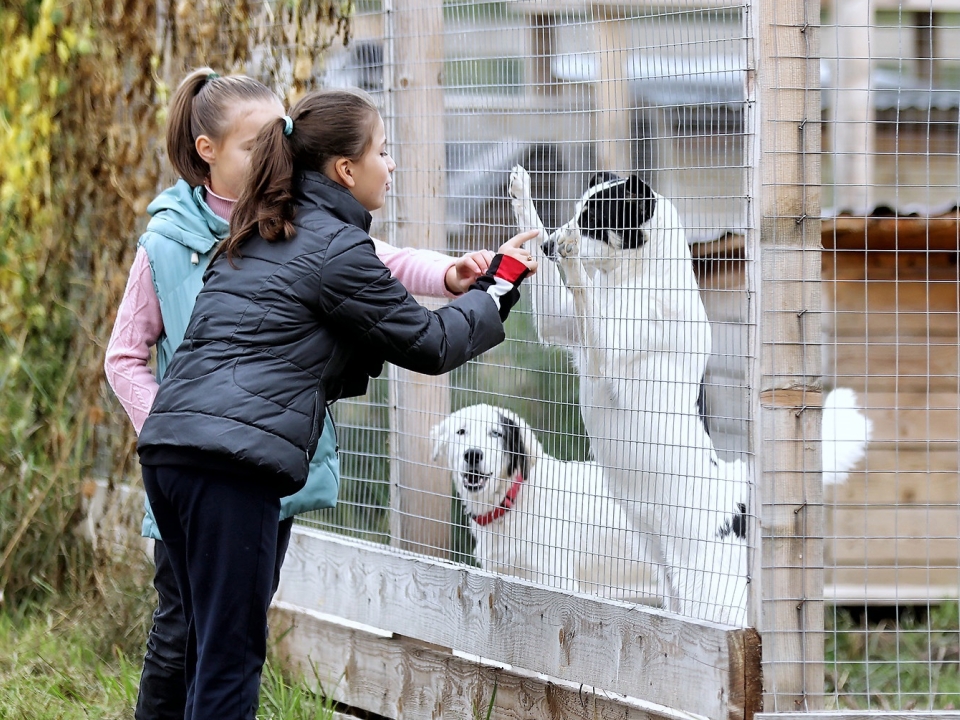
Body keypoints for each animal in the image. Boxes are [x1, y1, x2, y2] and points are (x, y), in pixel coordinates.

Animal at [510, 163, 872, 624]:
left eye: (592, 220)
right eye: (576, 211)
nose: (554, 244)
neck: (638, 276)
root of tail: (739, 491)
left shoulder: (608, 343)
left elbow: (583, 289)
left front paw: (569, 253)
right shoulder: (562, 325)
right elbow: (551, 268)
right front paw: (523, 197)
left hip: (714, 600)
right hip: (675, 590)